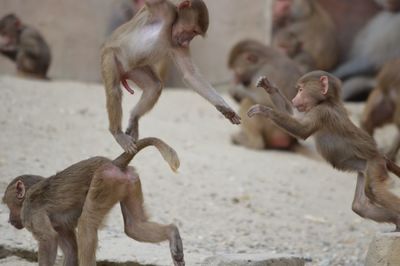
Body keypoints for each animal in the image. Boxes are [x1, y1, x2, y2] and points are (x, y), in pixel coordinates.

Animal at [2, 138, 184, 264]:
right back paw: (172, 233)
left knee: (86, 224)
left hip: (104, 180)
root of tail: (115, 163)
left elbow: (48, 239)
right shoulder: (58, 225)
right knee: (134, 227)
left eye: (9, 205)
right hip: (128, 181)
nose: (10, 220)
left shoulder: (29, 212)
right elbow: (70, 251)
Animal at [101, 0, 242, 154]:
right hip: (110, 57)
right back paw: (117, 133)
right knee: (114, 90)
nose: (187, 41)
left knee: (155, 86)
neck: (169, 31)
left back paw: (134, 118)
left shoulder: (178, 45)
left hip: (134, 68)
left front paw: (225, 108)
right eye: (193, 31)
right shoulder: (165, 11)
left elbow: (190, 75)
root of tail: (124, 73)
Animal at [247, 71, 400, 230]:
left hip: (375, 164)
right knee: (360, 206)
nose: (294, 99)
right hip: (364, 168)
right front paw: (269, 87)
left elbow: (302, 130)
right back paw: (395, 219)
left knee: (373, 190)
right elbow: (294, 116)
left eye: (300, 90)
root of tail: (380, 154)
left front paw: (264, 110)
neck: (327, 101)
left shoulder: (322, 112)